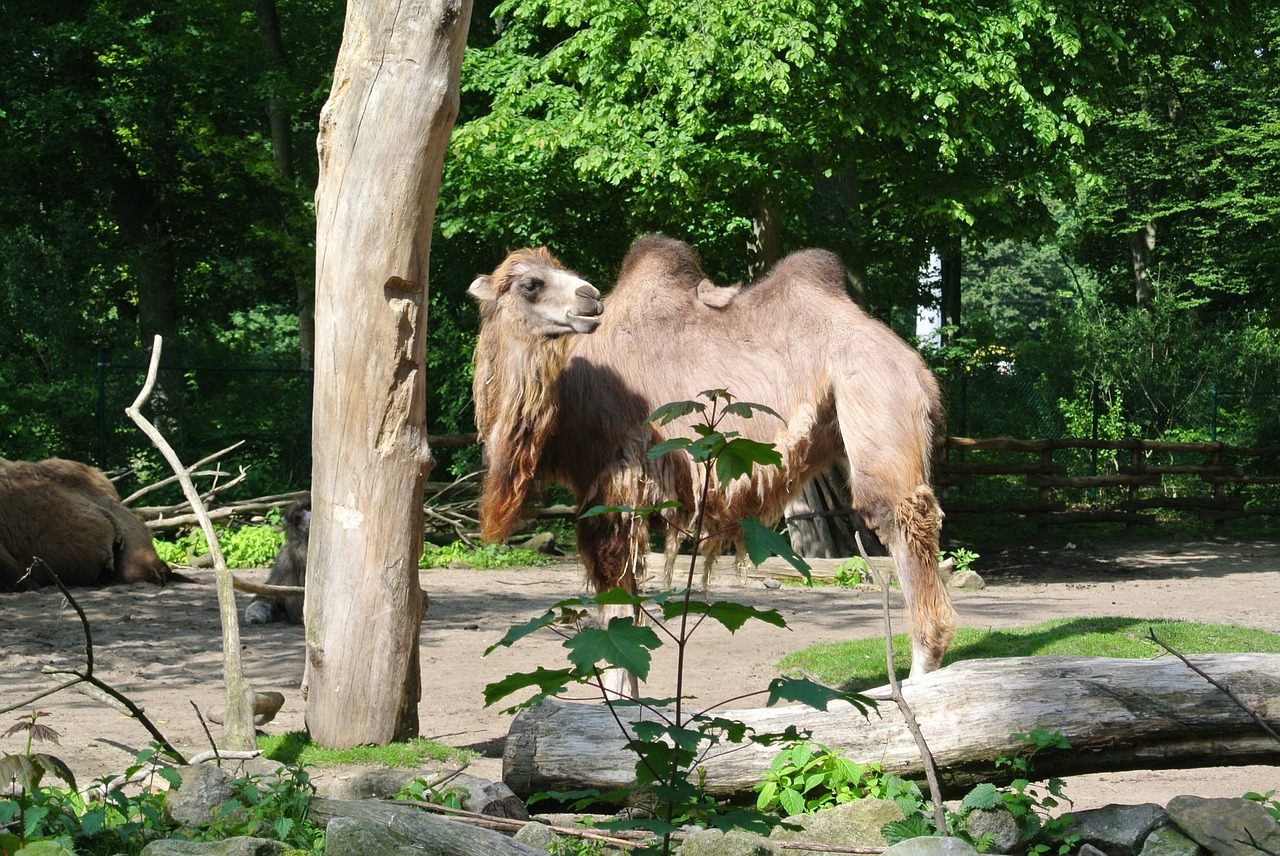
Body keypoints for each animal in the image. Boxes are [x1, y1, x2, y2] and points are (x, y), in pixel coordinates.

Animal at [465, 235, 957, 685]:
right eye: (530, 283)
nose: (589, 298)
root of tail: (917, 367)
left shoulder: (613, 481)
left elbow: (614, 606)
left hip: (875, 397)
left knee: (900, 516)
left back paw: (919, 679)